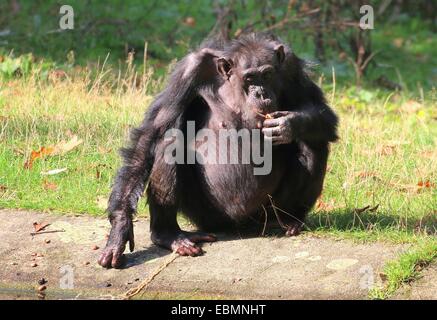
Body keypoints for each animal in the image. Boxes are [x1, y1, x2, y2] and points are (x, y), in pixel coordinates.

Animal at [98, 32, 338, 268]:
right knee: (169, 142)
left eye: (267, 74)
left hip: (266, 212)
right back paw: (168, 235)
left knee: (314, 144)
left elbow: (323, 114)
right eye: (250, 78)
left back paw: (289, 220)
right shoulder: (188, 71)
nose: (261, 93)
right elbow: (152, 132)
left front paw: (288, 124)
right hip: (207, 216)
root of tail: (241, 227)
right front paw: (119, 231)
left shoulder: (291, 66)